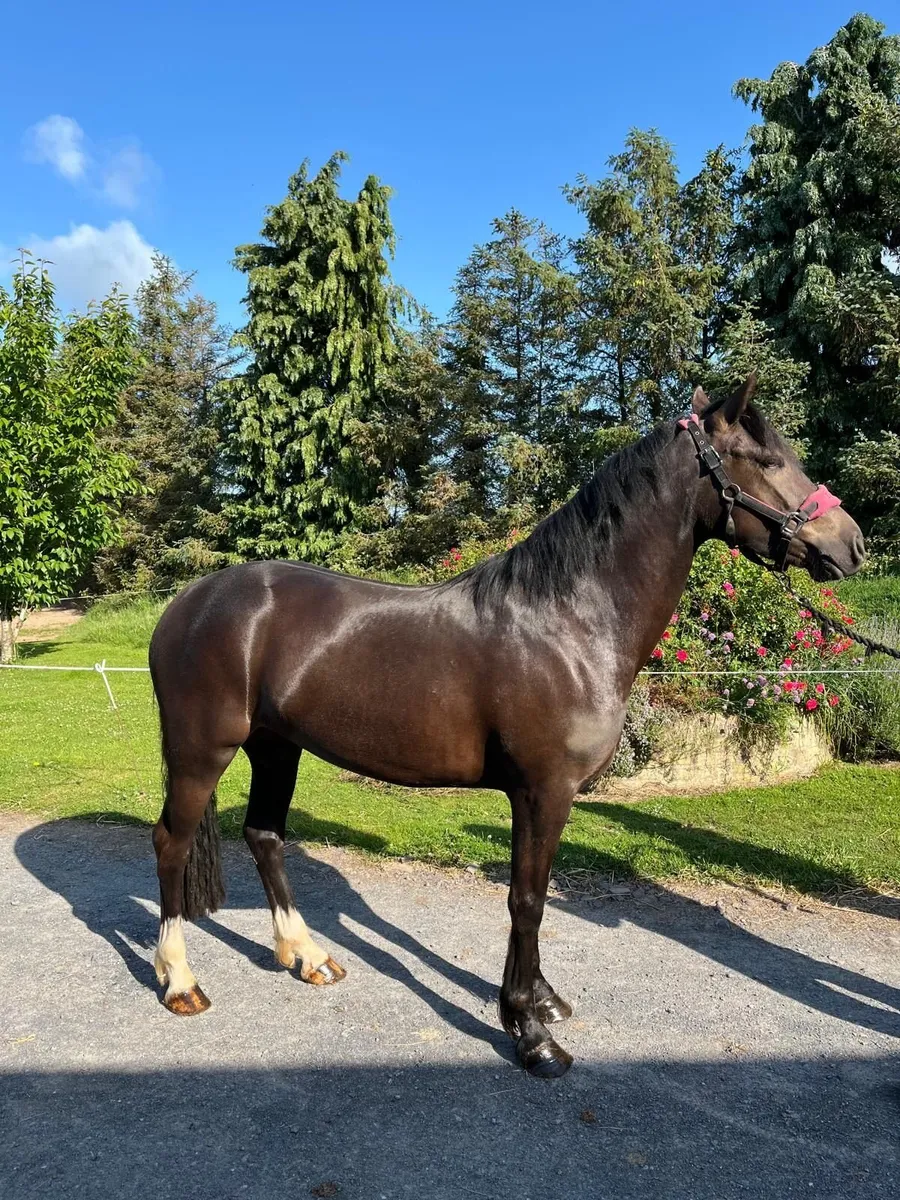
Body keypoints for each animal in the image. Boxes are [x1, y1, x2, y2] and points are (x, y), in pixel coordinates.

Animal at [148, 378, 865, 1077]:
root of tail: (187, 603)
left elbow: (534, 898)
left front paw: (543, 1002)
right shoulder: (542, 791)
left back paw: (307, 956)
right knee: (171, 843)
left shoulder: (542, 795)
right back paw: (180, 981)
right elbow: (527, 899)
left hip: (276, 748)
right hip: (202, 750)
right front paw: (530, 1033)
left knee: (264, 835)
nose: (852, 544)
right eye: (765, 460)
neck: (569, 619)